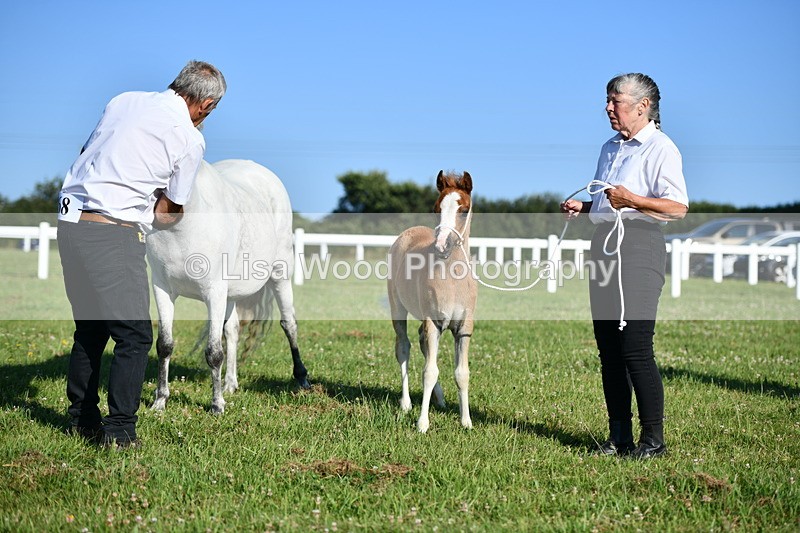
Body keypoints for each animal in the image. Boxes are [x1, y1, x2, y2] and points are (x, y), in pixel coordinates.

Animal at [146, 159, 310, 414]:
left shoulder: (214, 293)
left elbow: (214, 352)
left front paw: (216, 405)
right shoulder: (162, 289)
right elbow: (165, 345)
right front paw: (160, 401)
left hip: (280, 275)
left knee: (289, 324)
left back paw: (302, 378)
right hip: (230, 294)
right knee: (232, 330)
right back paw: (230, 384)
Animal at [387, 170, 477, 433]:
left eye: (463, 209)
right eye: (436, 208)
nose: (441, 246)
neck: (454, 281)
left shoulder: (464, 328)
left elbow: (461, 373)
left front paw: (466, 421)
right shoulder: (433, 322)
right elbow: (429, 371)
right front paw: (422, 423)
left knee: (422, 344)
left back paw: (441, 398)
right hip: (398, 309)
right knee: (404, 347)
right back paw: (406, 403)